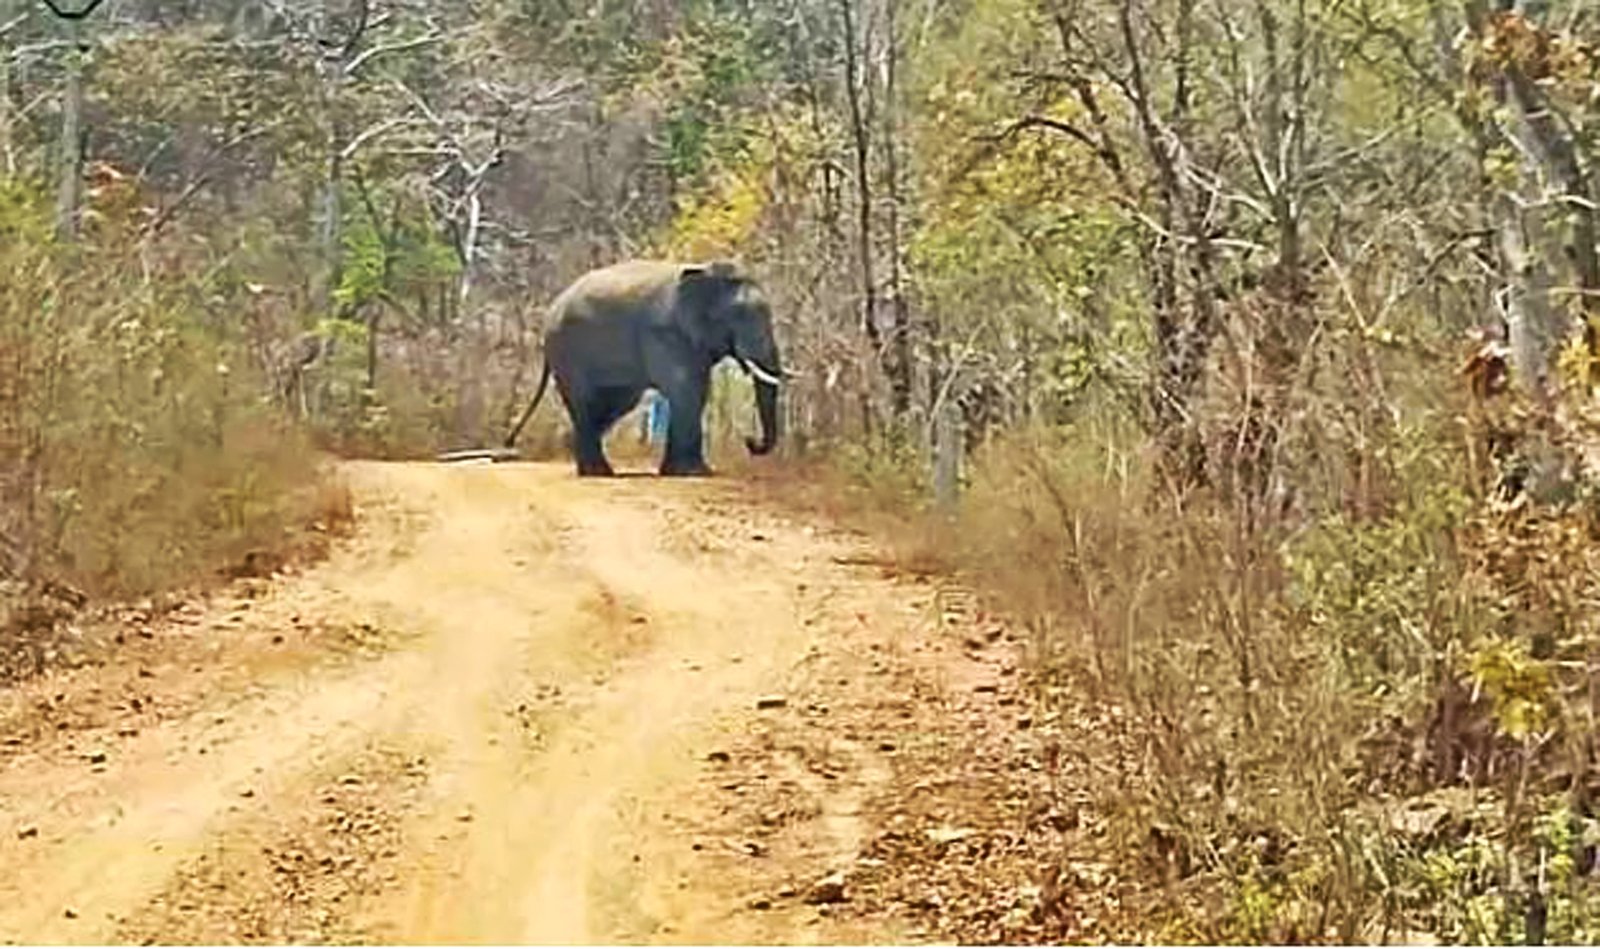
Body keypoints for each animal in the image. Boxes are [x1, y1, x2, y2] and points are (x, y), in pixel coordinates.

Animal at [502, 257, 784, 473]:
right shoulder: (663, 333)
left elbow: (694, 388)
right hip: (567, 350)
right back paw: (597, 472)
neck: (706, 272)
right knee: (585, 402)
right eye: (741, 315)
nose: (749, 441)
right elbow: (688, 388)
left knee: (615, 404)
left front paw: (681, 472)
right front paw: (694, 473)